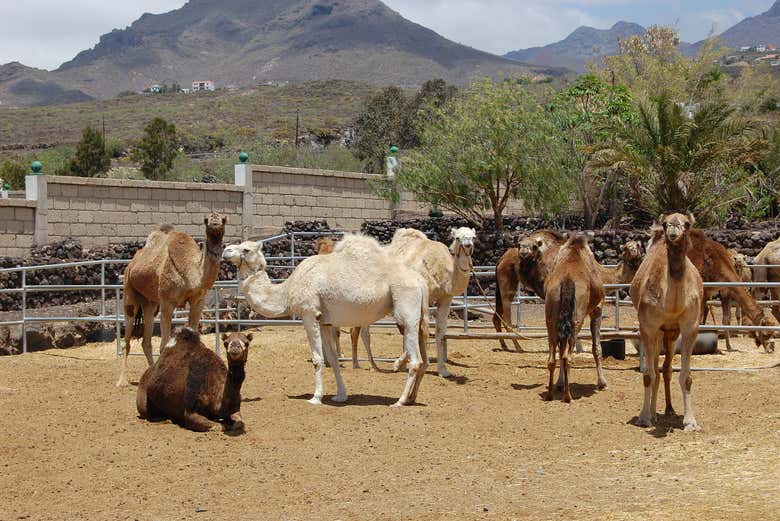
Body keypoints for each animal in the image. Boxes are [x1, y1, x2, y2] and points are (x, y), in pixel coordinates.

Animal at [117, 212, 226, 387]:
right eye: (206, 220)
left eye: (224, 219)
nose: (215, 223)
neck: (192, 274)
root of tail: (132, 263)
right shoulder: (167, 302)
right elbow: (164, 346)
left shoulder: (198, 301)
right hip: (129, 290)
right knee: (127, 338)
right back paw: (122, 381)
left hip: (150, 302)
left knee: (146, 340)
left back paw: (150, 373)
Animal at [222, 235, 429, 406]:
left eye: (246, 249)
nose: (226, 250)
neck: (288, 289)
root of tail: (420, 281)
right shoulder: (325, 322)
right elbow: (333, 358)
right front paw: (341, 395)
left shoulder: (309, 314)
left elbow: (317, 358)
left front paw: (316, 397)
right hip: (418, 317)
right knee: (423, 358)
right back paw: (412, 398)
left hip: (406, 310)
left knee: (416, 359)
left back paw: (399, 401)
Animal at [543, 234, 607, 402]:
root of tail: (567, 281)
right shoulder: (597, 308)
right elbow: (597, 347)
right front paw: (602, 383)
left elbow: (561, 349)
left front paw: (559, 383)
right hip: (577, 319)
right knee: (567, 357)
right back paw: (567, 396)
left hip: (551, 317)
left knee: (553, 357)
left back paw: (550, 394)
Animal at [630, 214, 703, 431]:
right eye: (665, 224)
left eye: (687, 224)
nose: (672, 234)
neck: (672, 305)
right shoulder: (647, 327)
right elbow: (648, 375)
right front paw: (644, 417)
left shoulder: (690, 328)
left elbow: (686, 377)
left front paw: (690, 421)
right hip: (658, 333)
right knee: (655, 368)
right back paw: (654, 414)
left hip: (671, 334)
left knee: (667, 368)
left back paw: (669, 409)